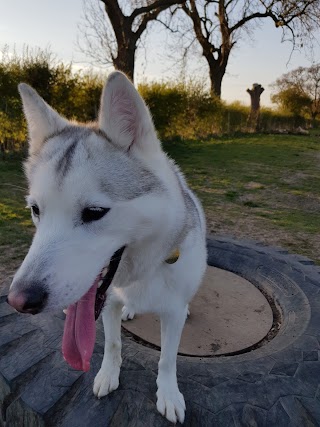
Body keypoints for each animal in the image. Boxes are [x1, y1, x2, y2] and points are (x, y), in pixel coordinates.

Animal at [8, 71, 208, 424]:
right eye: (35, 210)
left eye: (94, 212)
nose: (19, 301)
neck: (139, 276)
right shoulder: (109, 305)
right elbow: (113, 345)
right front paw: (107, 376)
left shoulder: (171, 315)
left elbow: (167, 359)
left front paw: (169, 394)